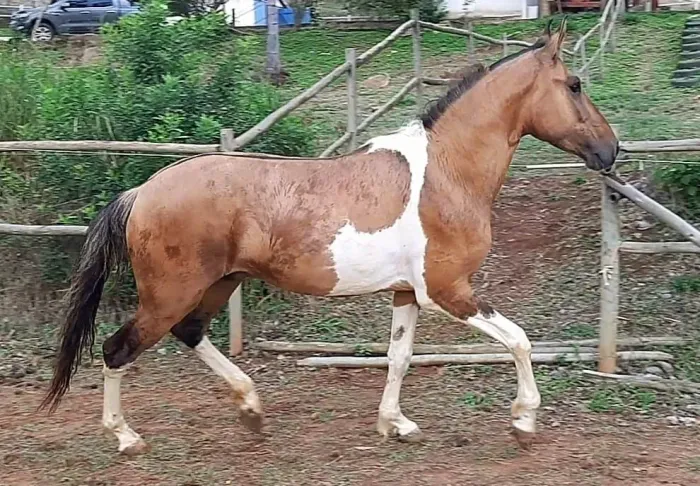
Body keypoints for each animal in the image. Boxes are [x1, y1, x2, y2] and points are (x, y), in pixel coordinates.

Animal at [40, 18, 618, 455]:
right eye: (574, 85)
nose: (611, 151)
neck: (447, 172)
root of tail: (141, 191)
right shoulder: (447, 291)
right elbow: (519, 340)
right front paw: (523, 422)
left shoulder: (407, 293)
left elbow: (399, 357)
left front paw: (395, 424)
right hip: (169, 293)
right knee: (117, 349)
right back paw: (127, 438)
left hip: (218, 283)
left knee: (190, 333)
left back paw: (251, 409)